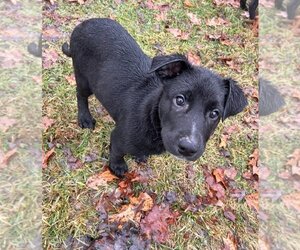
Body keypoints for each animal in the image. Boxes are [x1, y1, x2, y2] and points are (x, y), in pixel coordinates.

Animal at [62, 18, 247, 177]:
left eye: (214, 113)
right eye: (179, 100)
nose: (188, 148)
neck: (152, 119)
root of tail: (83, 24)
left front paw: (139, 156)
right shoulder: (118, 136)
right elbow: (116, 152)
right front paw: (117, 167)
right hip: (83, 77)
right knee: (80, 95)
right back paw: (85, 118)